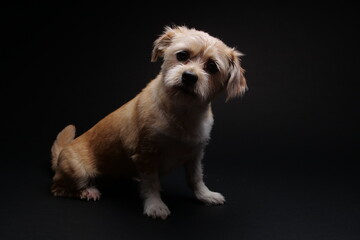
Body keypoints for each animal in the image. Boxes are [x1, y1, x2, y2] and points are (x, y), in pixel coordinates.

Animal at [50, 25, 248, 219]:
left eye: (212, 67)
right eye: (182, 55)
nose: (189, 76)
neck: (182, 112)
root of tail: (61, 155)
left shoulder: (195, 155)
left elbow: (196, 178)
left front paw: (205, 195)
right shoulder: (147, 154)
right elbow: (151, 184)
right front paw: (155, 205)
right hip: (79, 172)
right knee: (59, 189)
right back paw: (87, 191)